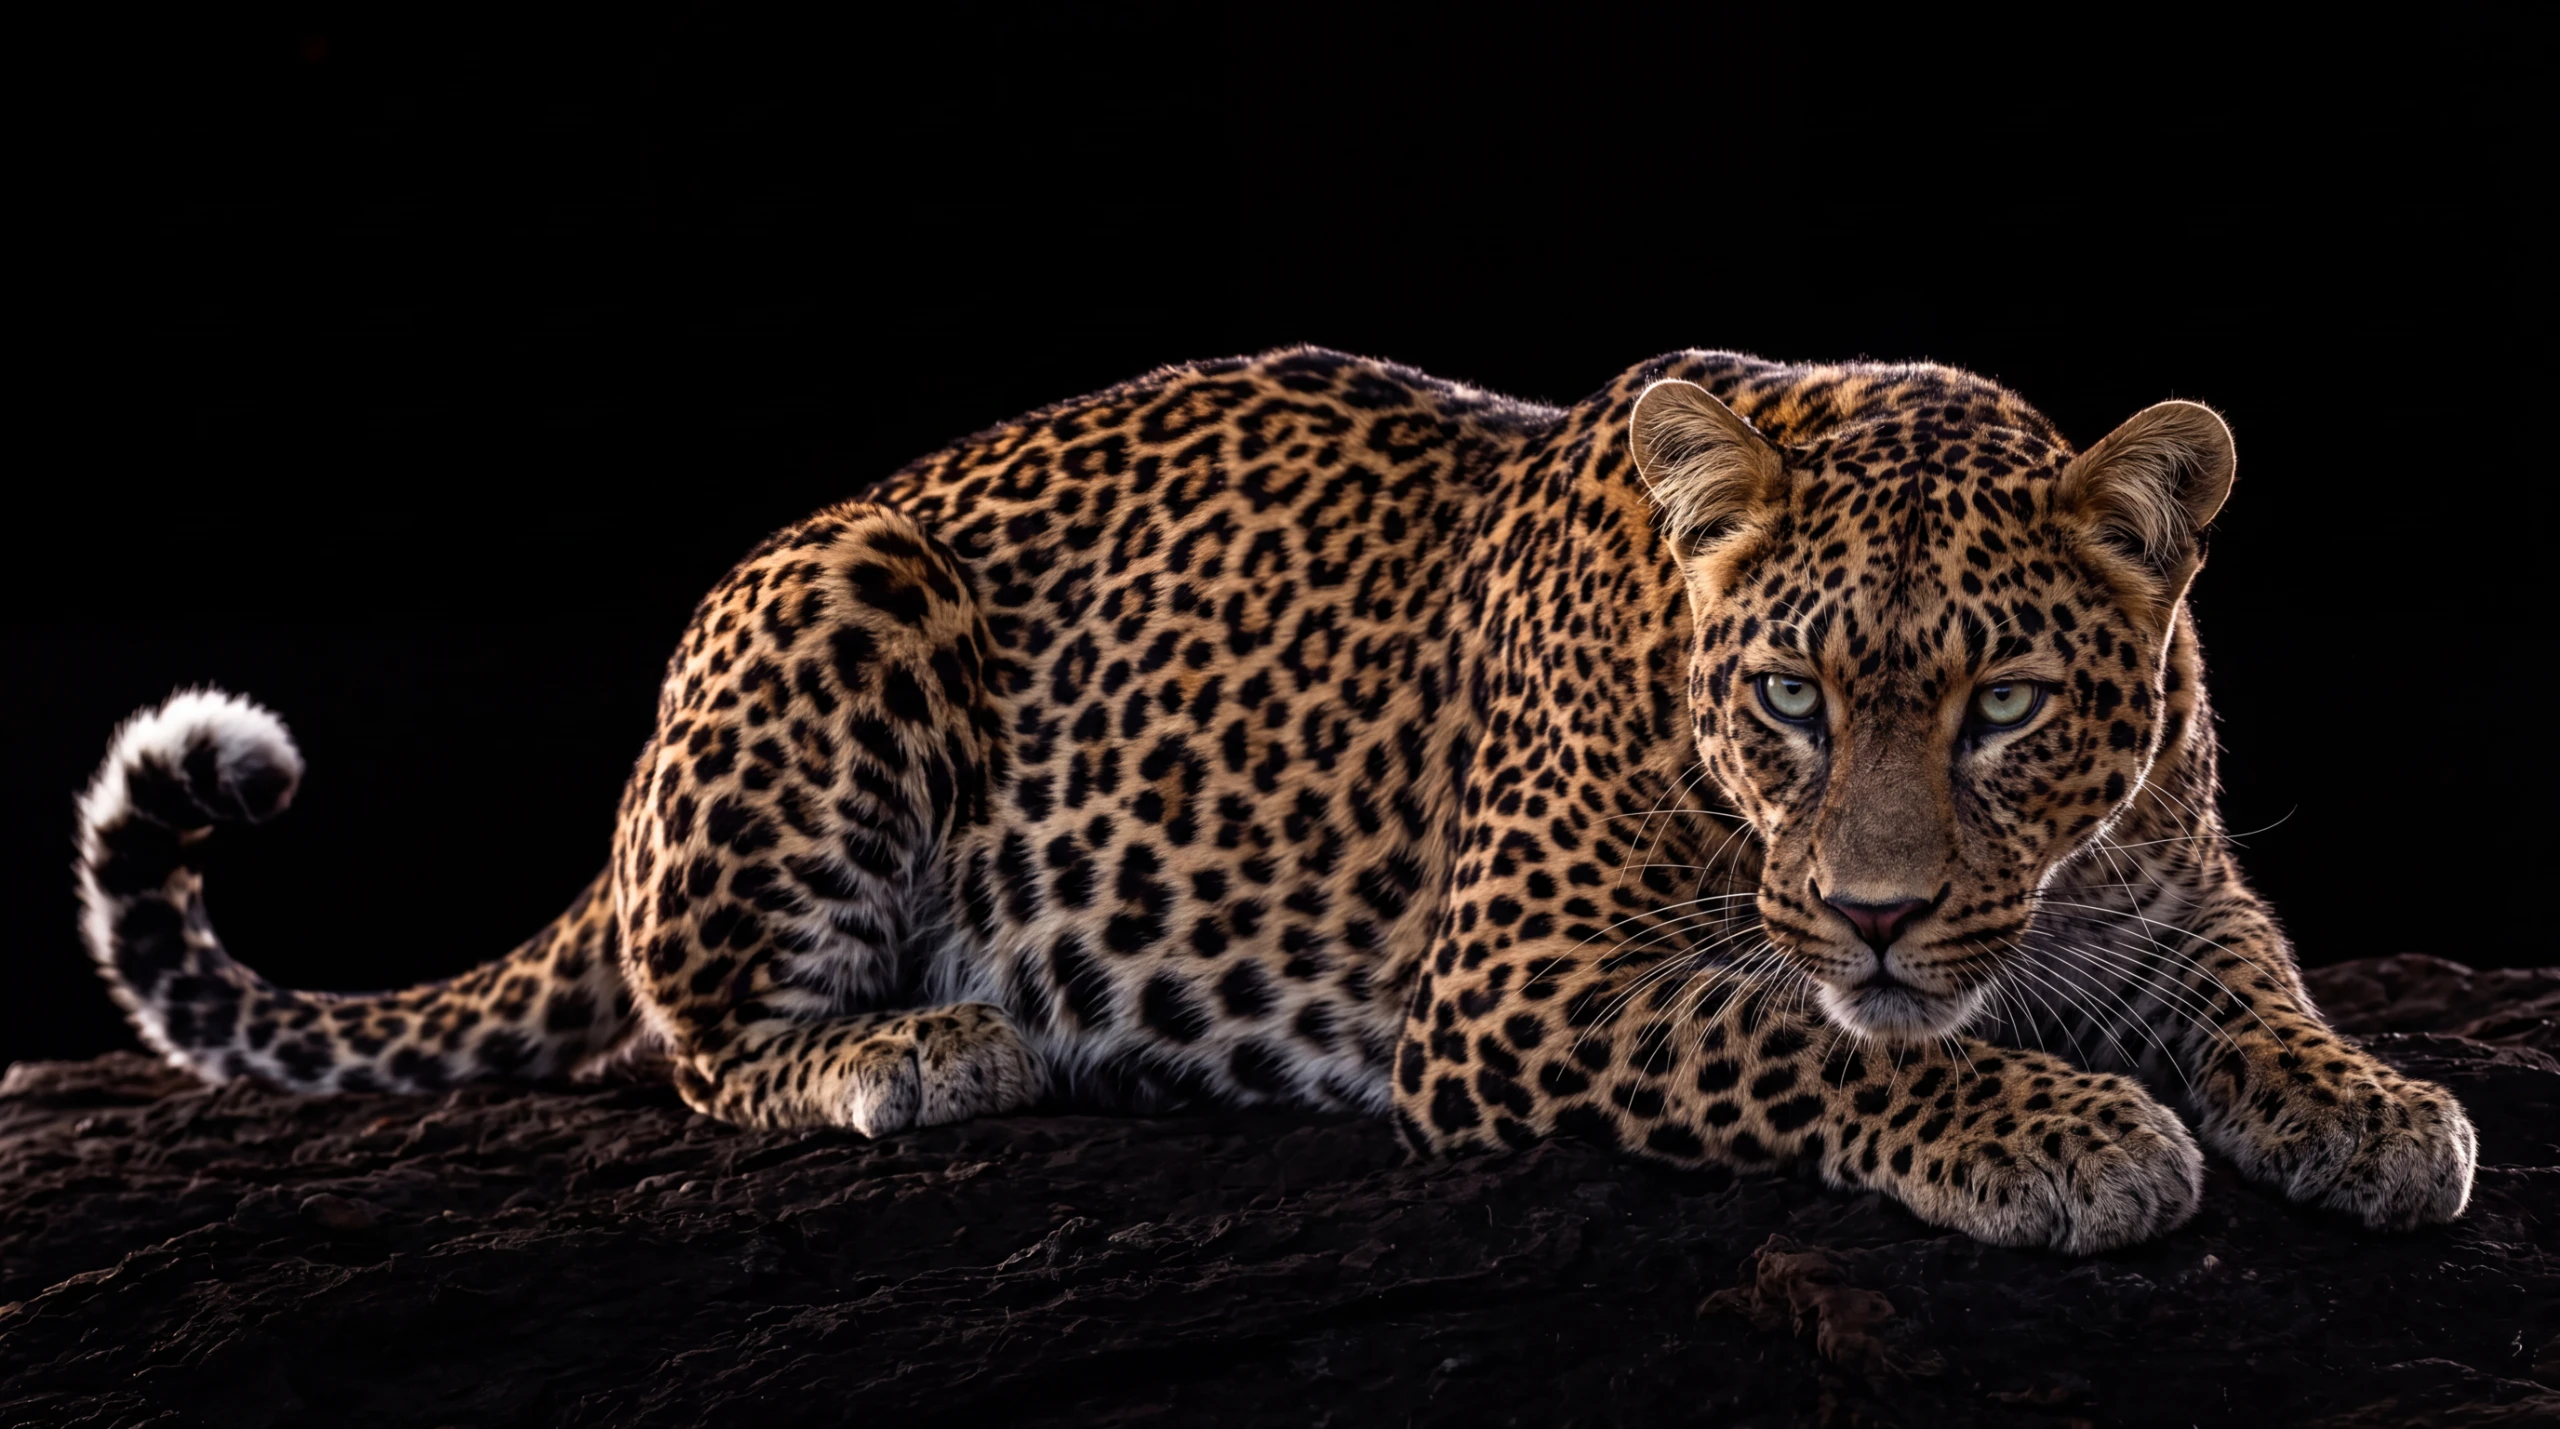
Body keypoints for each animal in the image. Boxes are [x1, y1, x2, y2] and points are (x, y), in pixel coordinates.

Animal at [71, 346, 2477, 1254]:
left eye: (2008, 705)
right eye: (1789, 696)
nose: (1886, 912)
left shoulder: (2173, 892)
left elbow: (2257, 993)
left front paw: (2373, 1106)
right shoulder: (1520, 988)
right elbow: (1805, 1040)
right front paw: (2057, 1128)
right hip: (842, 603)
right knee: (692, 1043)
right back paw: (913, 1050)